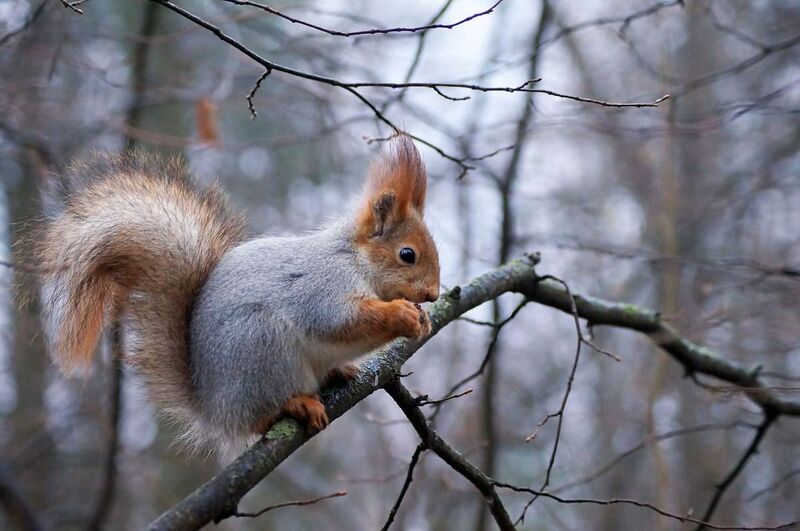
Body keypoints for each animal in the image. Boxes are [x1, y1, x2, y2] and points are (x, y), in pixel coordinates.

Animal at [32, 135, 440, 458]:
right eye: (407, 254)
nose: (434, 295)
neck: (355, 258)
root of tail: (213, 408)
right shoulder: (323, 285)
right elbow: (336, 321)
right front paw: (403, 315)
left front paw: (422, 319)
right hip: (261, 345)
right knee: (259, 418)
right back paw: (295, 404)